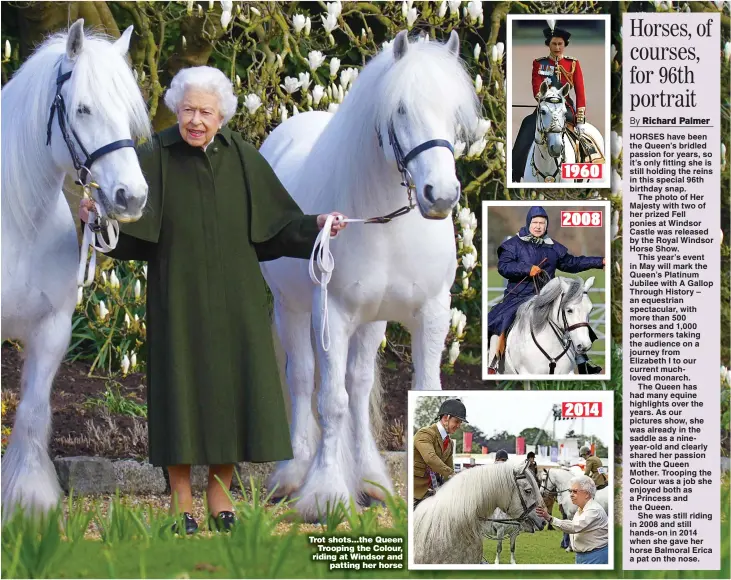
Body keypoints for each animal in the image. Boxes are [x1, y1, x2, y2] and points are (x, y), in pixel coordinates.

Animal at [0, 20, 150, 520]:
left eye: (127, 111)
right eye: (83, 108)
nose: (132, 197)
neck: (17, 223)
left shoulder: (53, 327)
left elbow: (32, 413)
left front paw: (28, 499)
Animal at [260, 30, 484, 520]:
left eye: (454, 112)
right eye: (400, 109)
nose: (440, 195)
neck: (387, 223)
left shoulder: (431, 312)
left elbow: (418, 387)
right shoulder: (333, 314)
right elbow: (330, 401)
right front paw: (325, 494)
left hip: (372, 320)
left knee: (358, 386)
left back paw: (369, 479)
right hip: (292, 309)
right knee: (303, 378)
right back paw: (293, 474)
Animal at [414, 464, 548, 564]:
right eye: (528, 490)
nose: (543, 521)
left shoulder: (513, 533)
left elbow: (512, 548)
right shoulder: (500, 531)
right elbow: (499, 548)